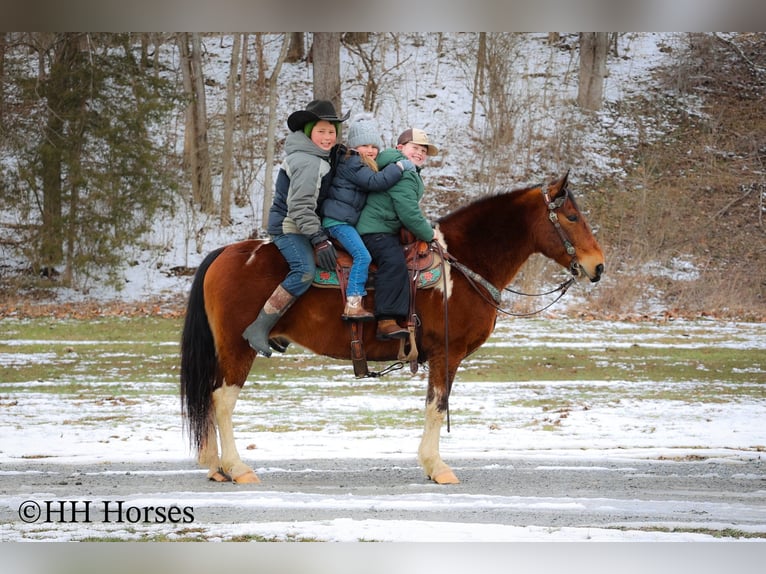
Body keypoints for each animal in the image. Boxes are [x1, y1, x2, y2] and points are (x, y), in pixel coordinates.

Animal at [180, 172, 608, 486]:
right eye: (572, 217)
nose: (598, 266)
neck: (461, 265)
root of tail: (225, 253)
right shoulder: (447, 355)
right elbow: (437, 406)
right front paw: (437, 467)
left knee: (210, 400)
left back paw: (217, 466)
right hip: (239, 349)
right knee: (222, 401)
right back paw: (237, 468)